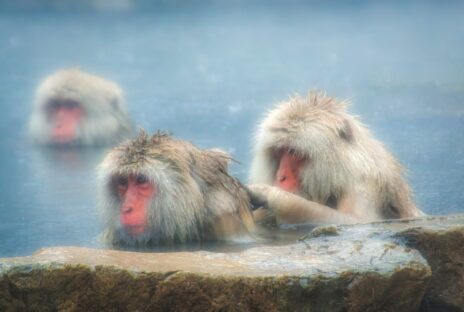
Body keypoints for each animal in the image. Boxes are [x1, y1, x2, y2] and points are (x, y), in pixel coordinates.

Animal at [248, 91, 426, 225]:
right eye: (280, 151)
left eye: (293, 152)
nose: (280, 177)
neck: (339, 170)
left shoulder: (363, 181)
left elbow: (357, 221)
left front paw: (269, 194)